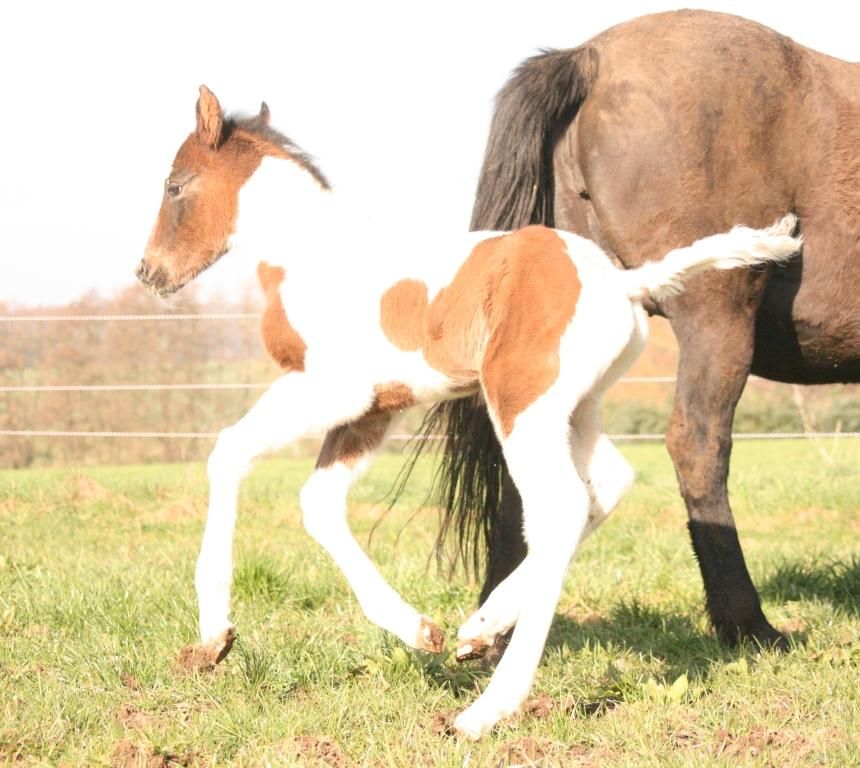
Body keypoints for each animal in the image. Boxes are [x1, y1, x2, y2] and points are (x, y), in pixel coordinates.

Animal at [134, 85, 800, 736]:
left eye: (175, 185)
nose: (149, 271)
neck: (315, 258)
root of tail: (621, 282)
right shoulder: (376, 408)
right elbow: (318, 504)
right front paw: (418, 630)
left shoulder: (332, 389)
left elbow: (229, 452)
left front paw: (213, 637)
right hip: (573, 407)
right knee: (608, 482)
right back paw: (479, 629)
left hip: (521, 405)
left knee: (562, 508)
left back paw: (486, 709)